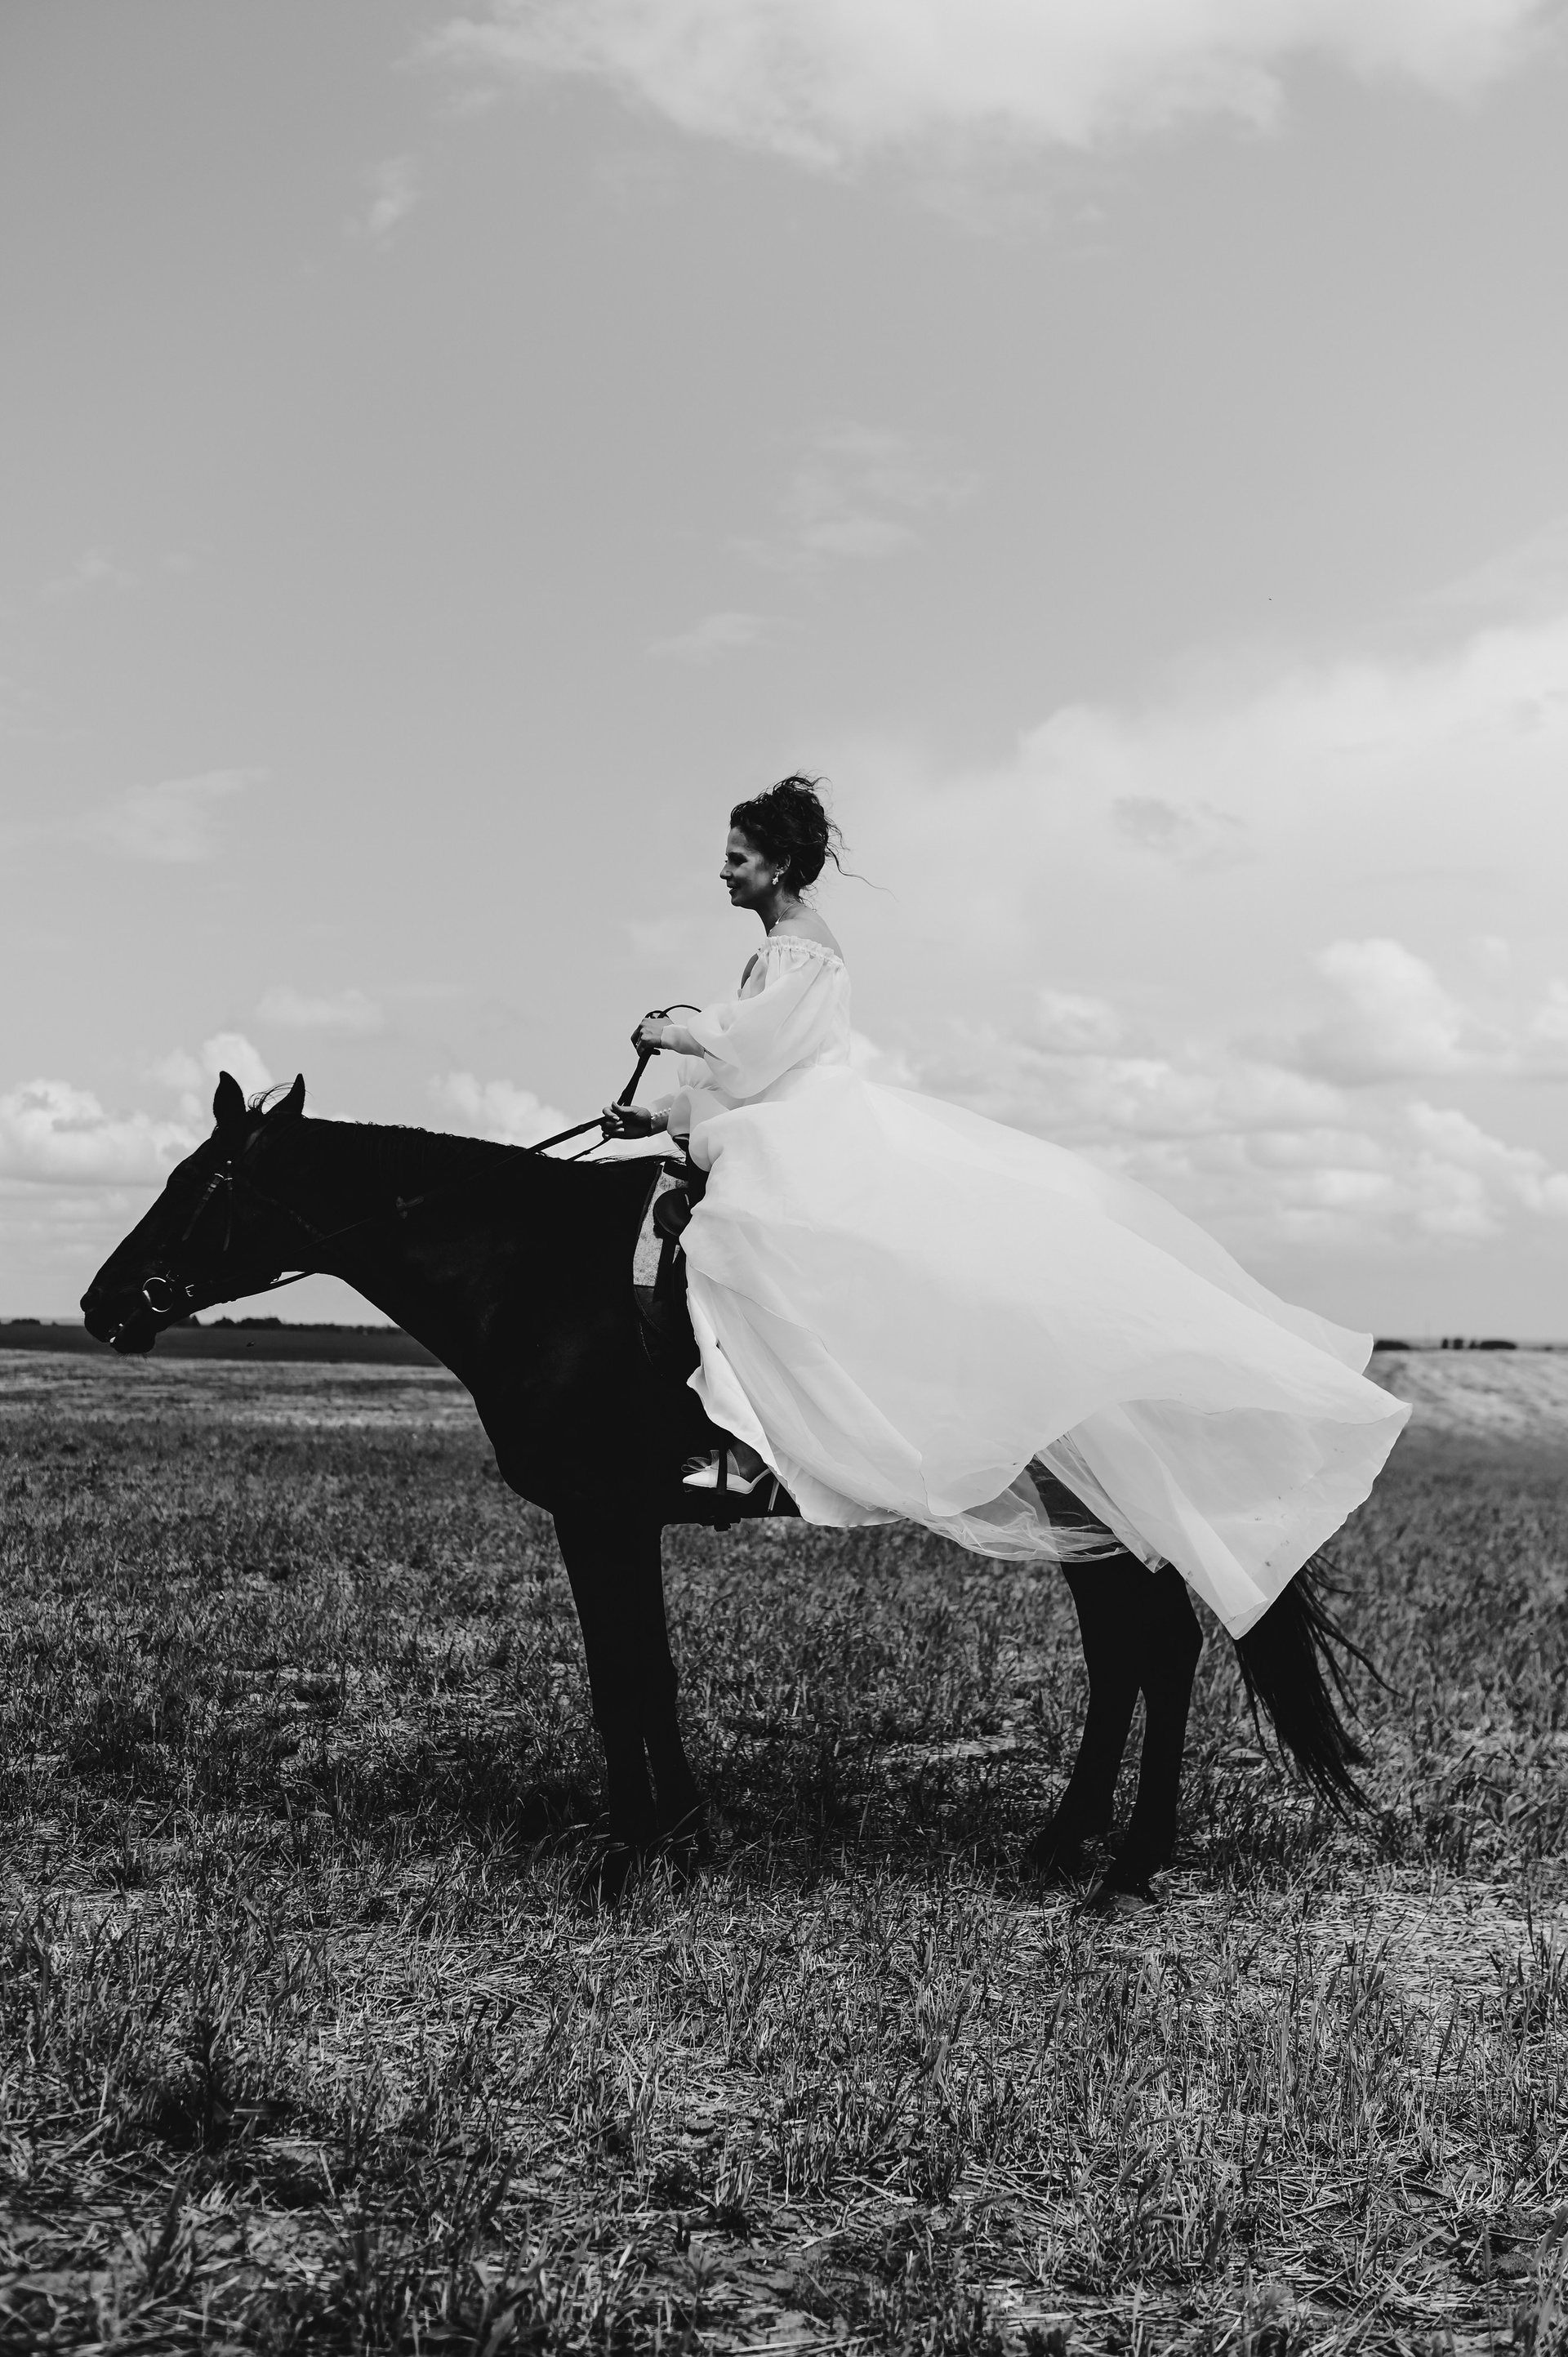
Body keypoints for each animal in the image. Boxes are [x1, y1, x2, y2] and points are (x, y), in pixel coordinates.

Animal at [81, 1072, 1371, 1902]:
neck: (533, 1271)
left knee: (1156, 1643)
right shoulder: (623, 1519)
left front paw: (625, 1860)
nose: (103, 1304)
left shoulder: (597, 1515)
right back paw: (1070, 1845)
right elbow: (648, 1673)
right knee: (1124, 1650)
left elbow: (620, 1679)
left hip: (1093, 1499)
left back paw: (1130, 1864)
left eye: (201, 1181)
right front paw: (685, 1838)